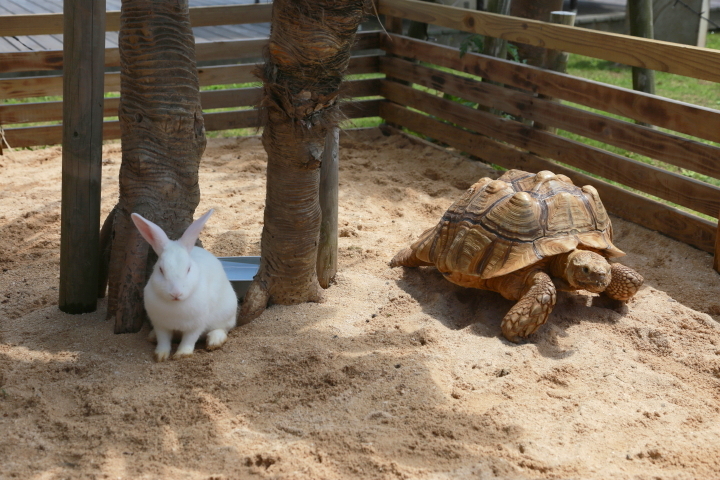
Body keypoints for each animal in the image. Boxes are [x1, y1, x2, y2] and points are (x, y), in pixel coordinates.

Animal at [131, 209, 238, 362]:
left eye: (188, 269)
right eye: (160, 270)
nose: (176, 293)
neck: (176, 305)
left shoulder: (195, 325)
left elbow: (189, 340)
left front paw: (182, 354)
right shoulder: (160, 325)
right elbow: (163, 340)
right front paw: (160, 356)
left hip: (226, 313)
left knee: (222, 329)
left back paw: (214, 342)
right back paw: (152, 337)